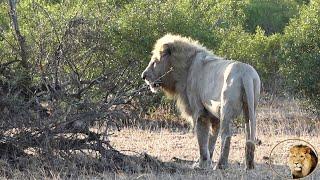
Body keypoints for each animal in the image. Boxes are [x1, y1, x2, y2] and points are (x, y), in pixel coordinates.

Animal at [142, 34, 260, 170]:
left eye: (155, 61)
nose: (143, 76)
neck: (185, 68)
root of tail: (246, 73)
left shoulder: (199, 112)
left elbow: (202, 138)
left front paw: (201, 164)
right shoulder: (213, 115)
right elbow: (211, 140)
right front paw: (206, 161)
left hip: (226, 108)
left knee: (226, 135)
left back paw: (220, 165)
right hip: (250, 106)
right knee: (249, 134)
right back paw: (249, 165)